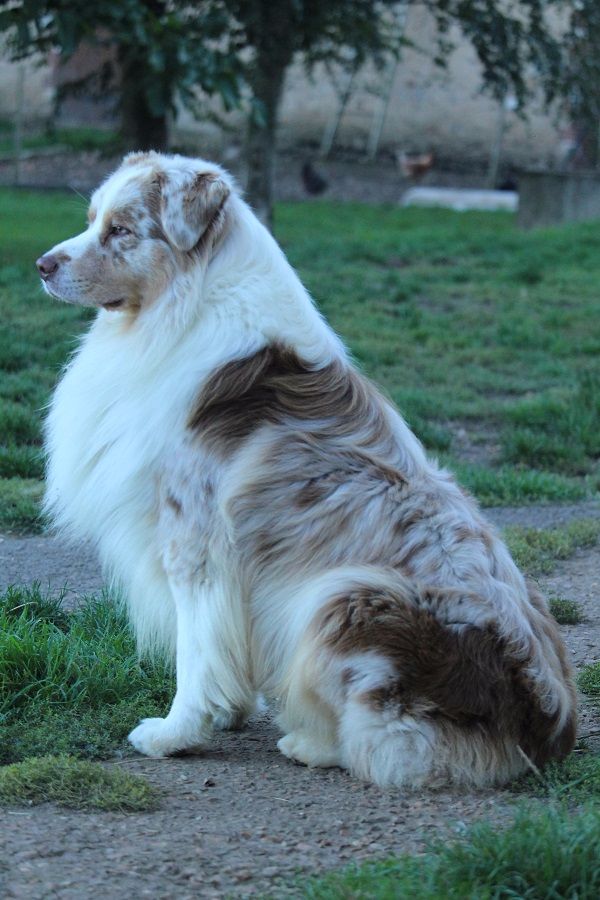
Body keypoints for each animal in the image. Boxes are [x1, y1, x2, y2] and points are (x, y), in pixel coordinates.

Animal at [38, 155, 576, 788]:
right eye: (91, 220)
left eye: (121, 230)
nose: (42, 265)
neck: (183, 306)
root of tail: (545, 728)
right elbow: (220, 647)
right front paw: (230, 712)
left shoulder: (194, 539)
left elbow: (196, 649)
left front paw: (177, 732)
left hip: (346, 595)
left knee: (393, 743)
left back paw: (312, 743)